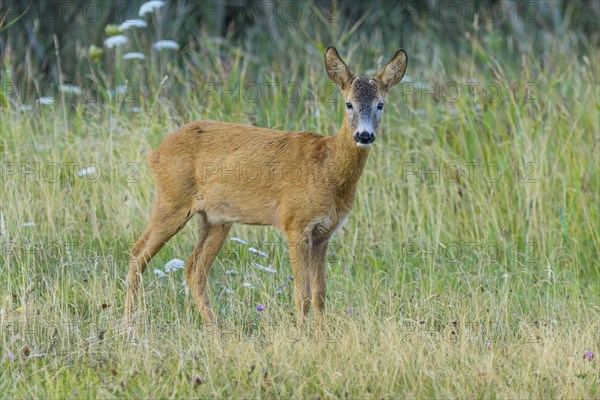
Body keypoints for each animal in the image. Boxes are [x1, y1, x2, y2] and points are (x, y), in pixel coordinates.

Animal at [125, 46, 410, 328]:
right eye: (349, 104)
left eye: (380, 104)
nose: (364, 135)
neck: (327, 168)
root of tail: (156, 153)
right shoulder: (295, 223)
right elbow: (303, 294)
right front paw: (302, 335)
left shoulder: (324, 234)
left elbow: (320, 294)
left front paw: (321, 334)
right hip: (172, 200)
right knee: (138, 254)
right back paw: (130, 323)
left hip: (215, 219)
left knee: (193, 269)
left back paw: (214, 330)